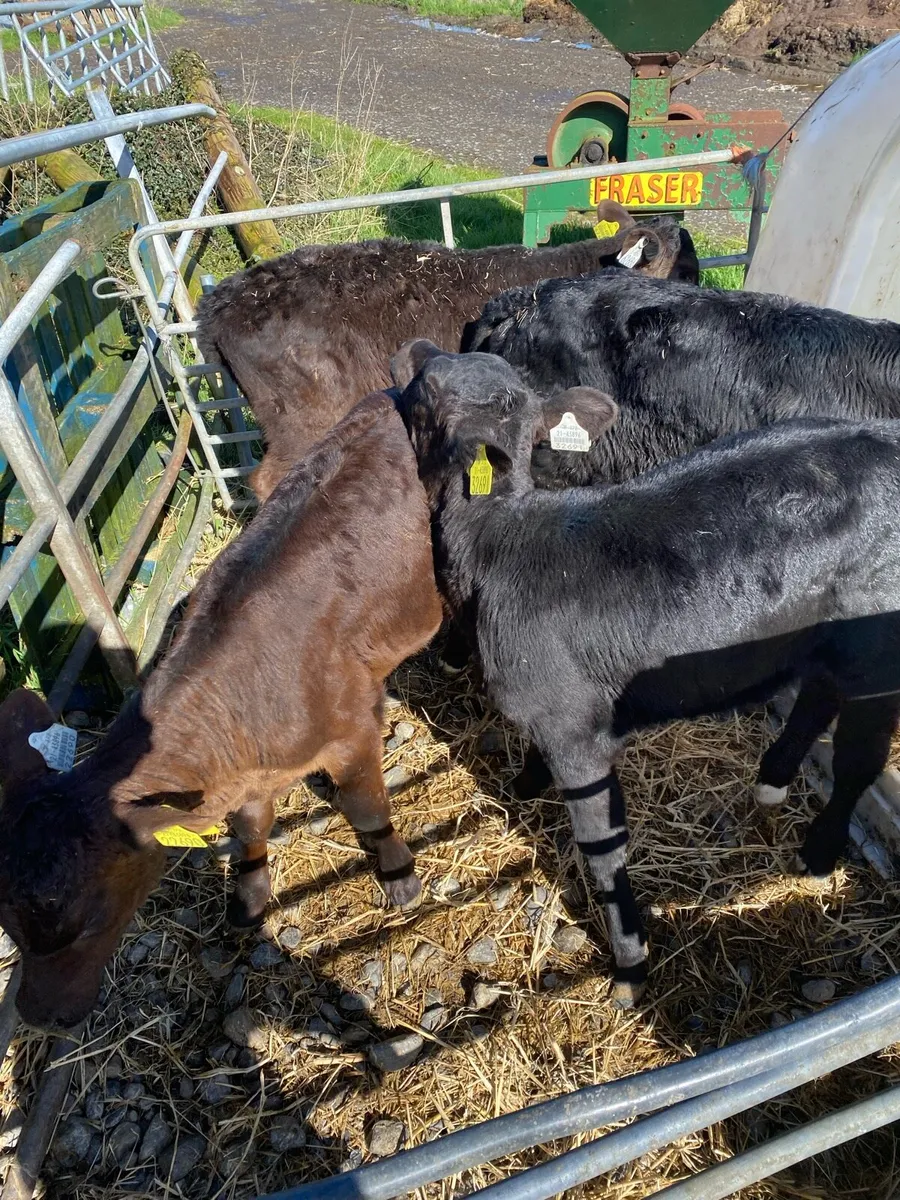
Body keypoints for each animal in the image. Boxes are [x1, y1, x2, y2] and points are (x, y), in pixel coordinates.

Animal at [0, 391, 442, 1030]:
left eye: (85, 924)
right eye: (8, 925)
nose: (37, 1016)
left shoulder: (352, 732)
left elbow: (365, 808)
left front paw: (399, 873)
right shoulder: (246, 776)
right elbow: (251, 827)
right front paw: (250, 899)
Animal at [394, 341, 900, 1007]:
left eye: (424, 401)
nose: (417, 356)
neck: (498, 541)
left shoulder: (578, 735)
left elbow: (602, 851)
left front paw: (630, 966)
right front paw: (525, 782)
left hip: (876, 643)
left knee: (859, 754)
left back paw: (817, 852)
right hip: (828, 632)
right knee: (818, 692)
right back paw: (772, 780)